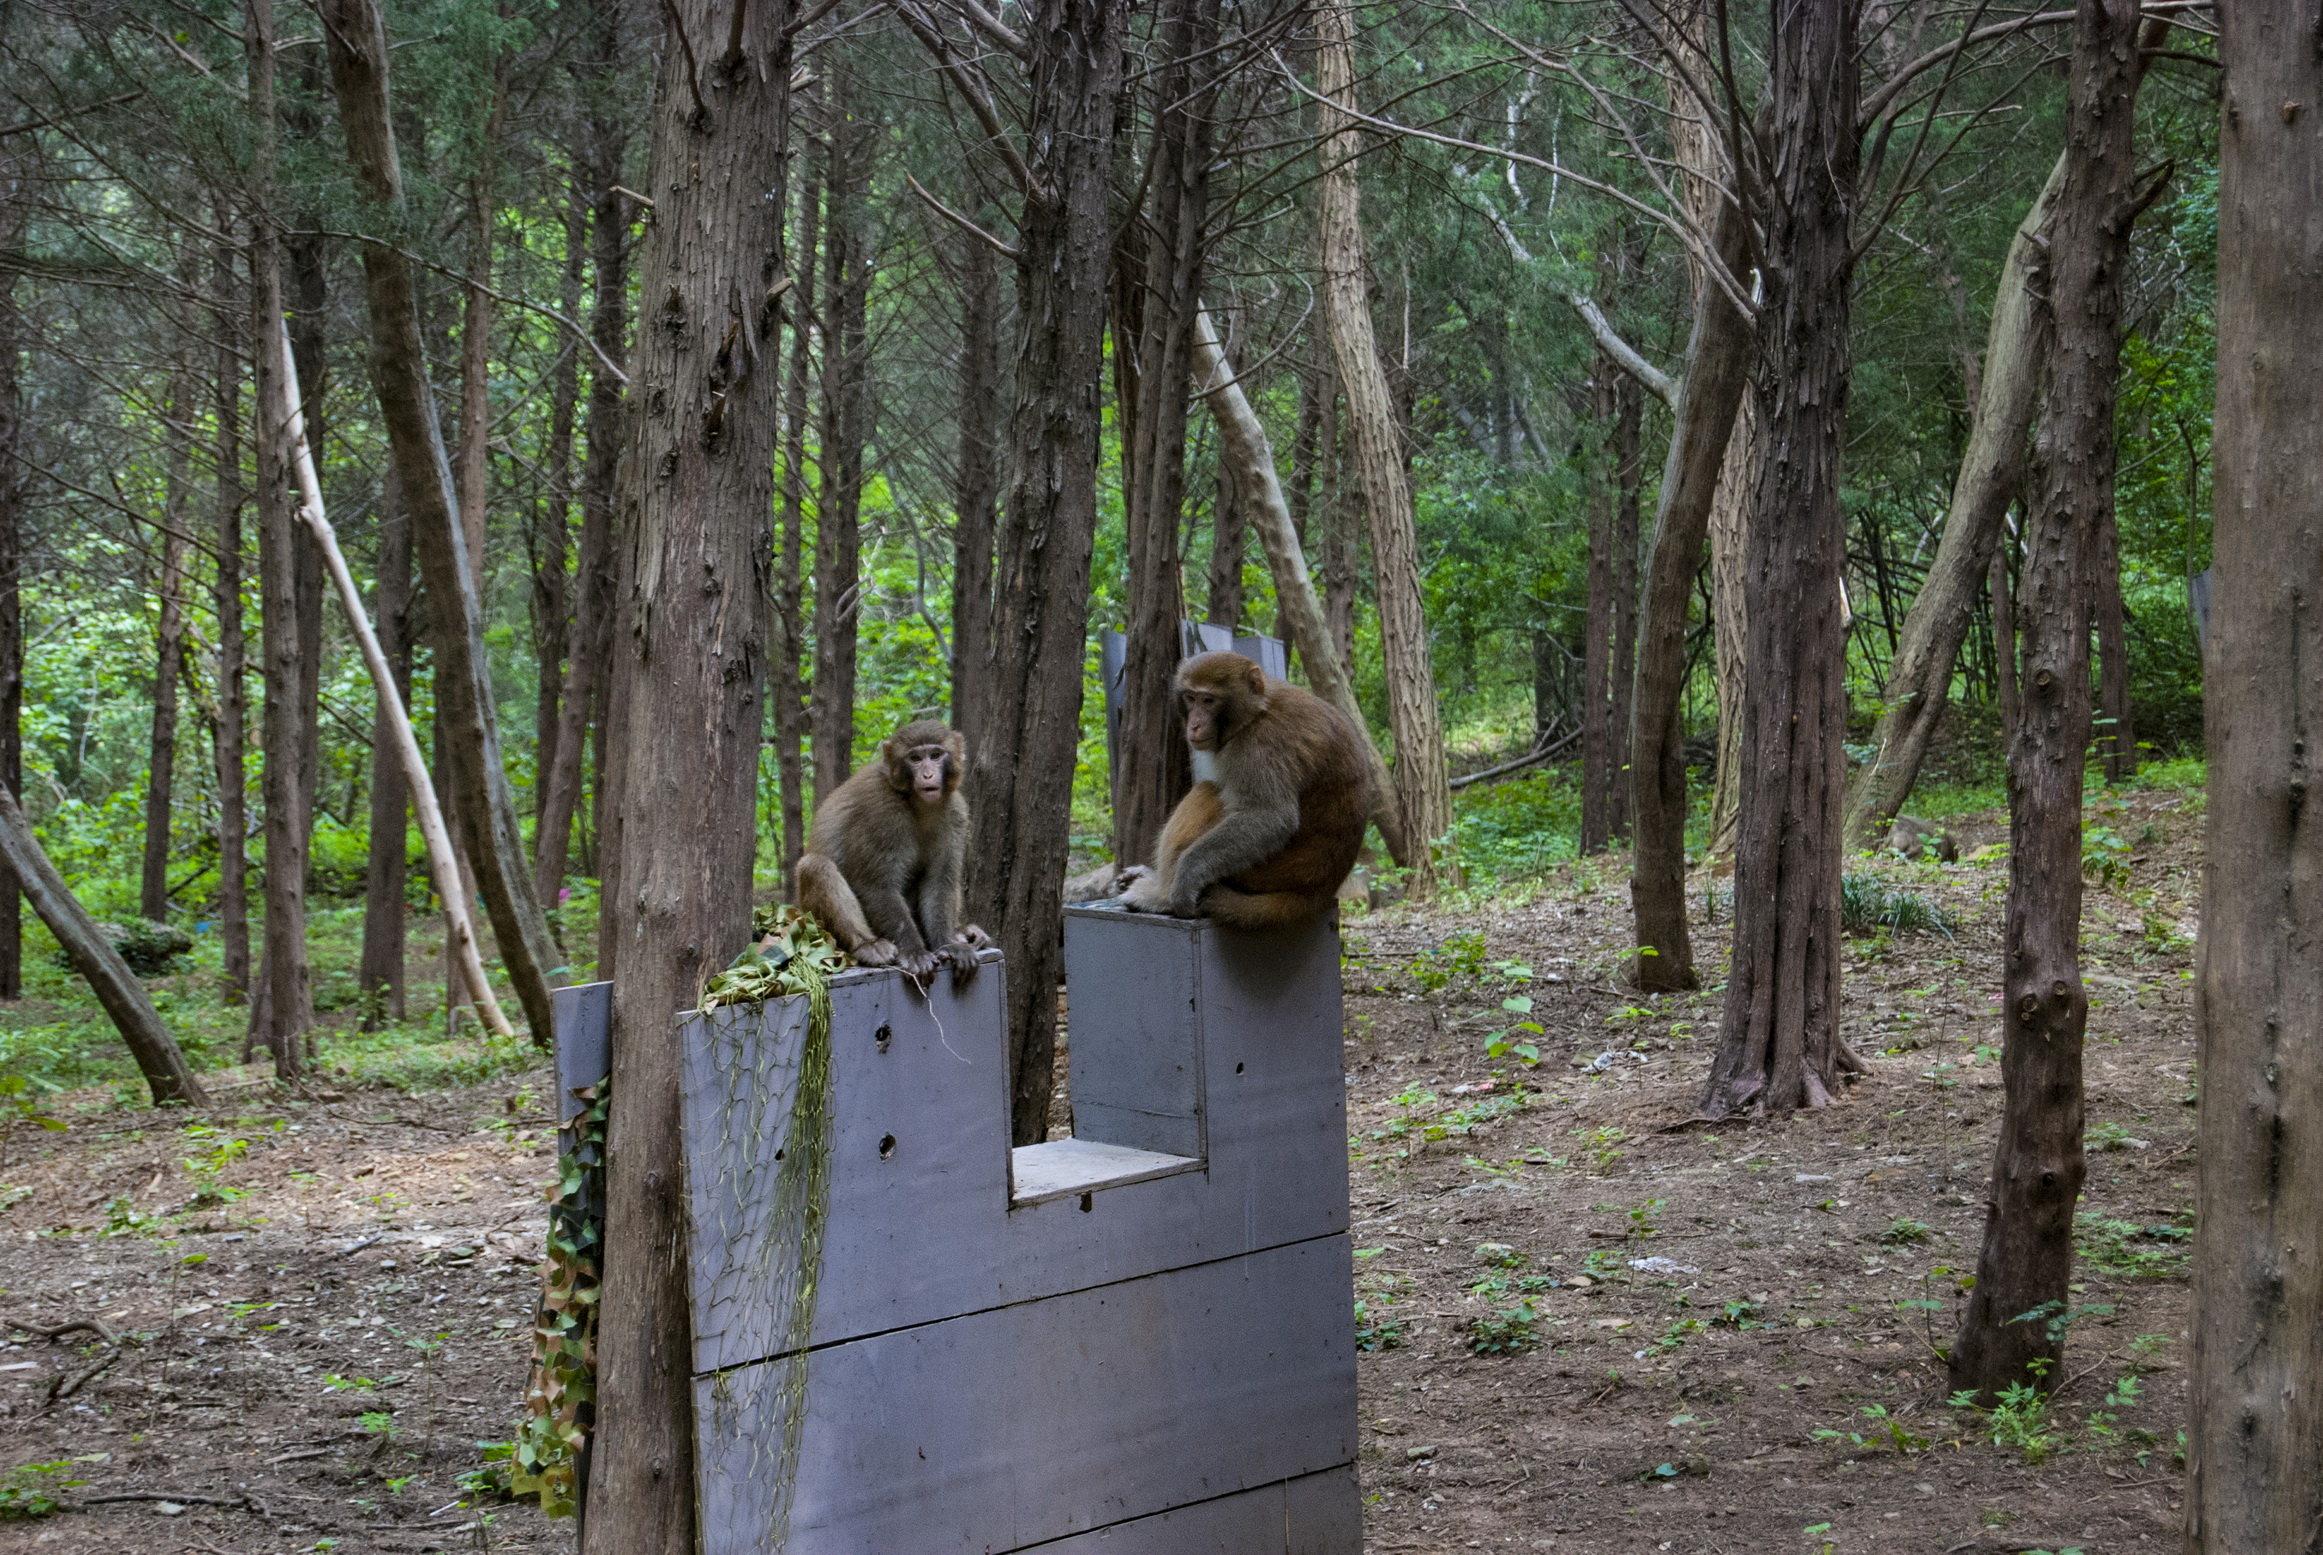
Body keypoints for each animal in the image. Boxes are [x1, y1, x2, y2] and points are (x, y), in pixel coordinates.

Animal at [799, 720, 989, 980]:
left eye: (936, 755)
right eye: (915, 758)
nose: (928, 774)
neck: (915, 803)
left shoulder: (955, 811)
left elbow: (939, 881)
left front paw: (948, 944)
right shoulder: (882, 813)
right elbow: (876, 885)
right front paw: (915, 952)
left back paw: (961, 931)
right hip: (812, 923)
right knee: (814, 865)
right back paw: (867, 946)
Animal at [1115, 650, 1365, 929]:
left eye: (1209, 700)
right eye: (1191, 698)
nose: (1194, 725)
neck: (1256, 712)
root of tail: (1317, 892)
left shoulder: (1261, 745)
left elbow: (1269, 817)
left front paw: (1184, 881)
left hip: (1265, 873)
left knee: (1207, 791)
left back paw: (1162, 896)